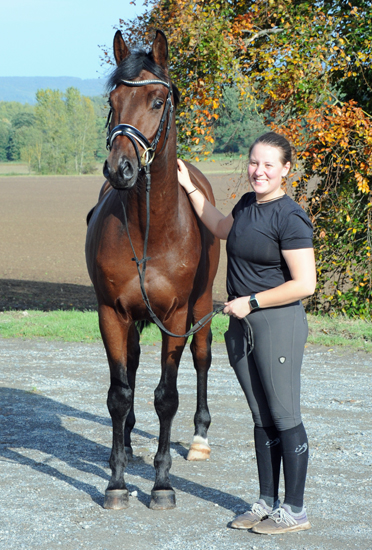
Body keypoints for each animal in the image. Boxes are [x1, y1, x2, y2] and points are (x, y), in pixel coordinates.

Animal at [86, 30, 221, 512]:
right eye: (113, 99)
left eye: (158, 101)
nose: (119, 168)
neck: (151, 230)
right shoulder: (111, 312)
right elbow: (119, 393)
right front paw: (116, 481)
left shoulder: (175, 316)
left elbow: (167, 396)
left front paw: (162, 484)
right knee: (130, 367)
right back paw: (125, 444)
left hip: (200, 307)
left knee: (202, 359)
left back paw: (199, 438)